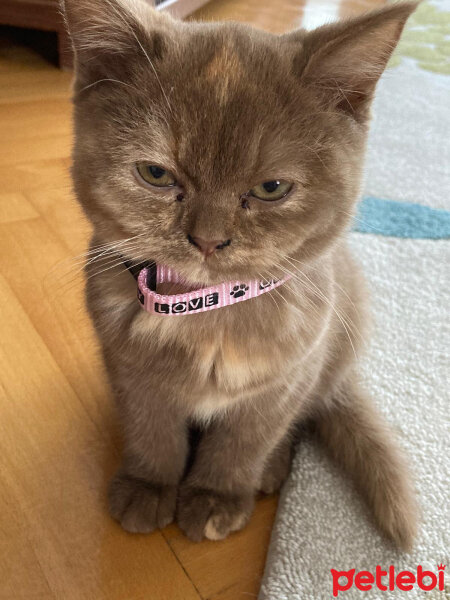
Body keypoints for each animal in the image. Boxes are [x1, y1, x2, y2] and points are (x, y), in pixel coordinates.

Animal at [63, 0, 418, 548]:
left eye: (272, 188)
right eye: (156, 174)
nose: (208, 240)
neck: (207, 311)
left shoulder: (285, 380)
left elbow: (243, 444)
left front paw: (215, 499)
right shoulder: (131, 373)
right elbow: (151, 431)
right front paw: (148, 486)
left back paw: (270, 472)